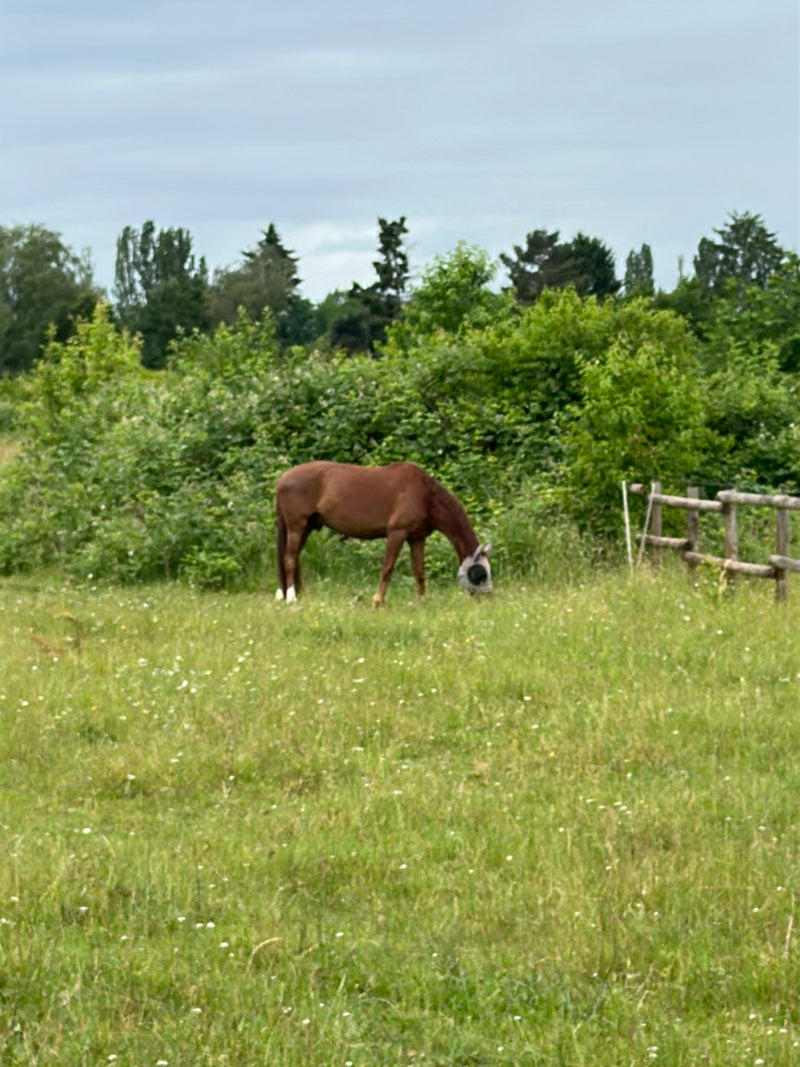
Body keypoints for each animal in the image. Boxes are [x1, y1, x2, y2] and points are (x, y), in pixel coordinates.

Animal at [275, 460, 492, 605]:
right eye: (479, 573)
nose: (487, 597)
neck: (425, 496)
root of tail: (282, 479)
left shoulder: (417, 538)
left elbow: (419, 571)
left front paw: (421, 601)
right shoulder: (397, 533)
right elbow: (387, 567)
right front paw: (378, 601)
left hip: (307, 527)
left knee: (295, 558)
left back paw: (299, 594)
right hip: (297, 526)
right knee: (289, 559)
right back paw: (291, 598)